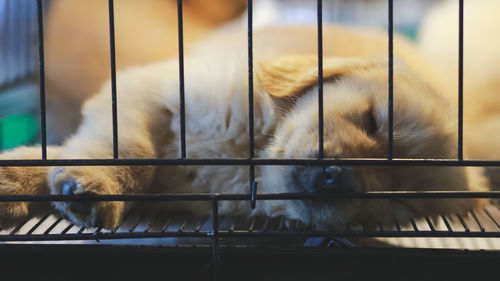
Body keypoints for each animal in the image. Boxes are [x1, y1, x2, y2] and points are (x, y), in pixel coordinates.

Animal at [0, 25, 488, 229]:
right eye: (372, 121)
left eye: (400, 201)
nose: (340, 182)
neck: (248, 157)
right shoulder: (146, 91)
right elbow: (128, 149)